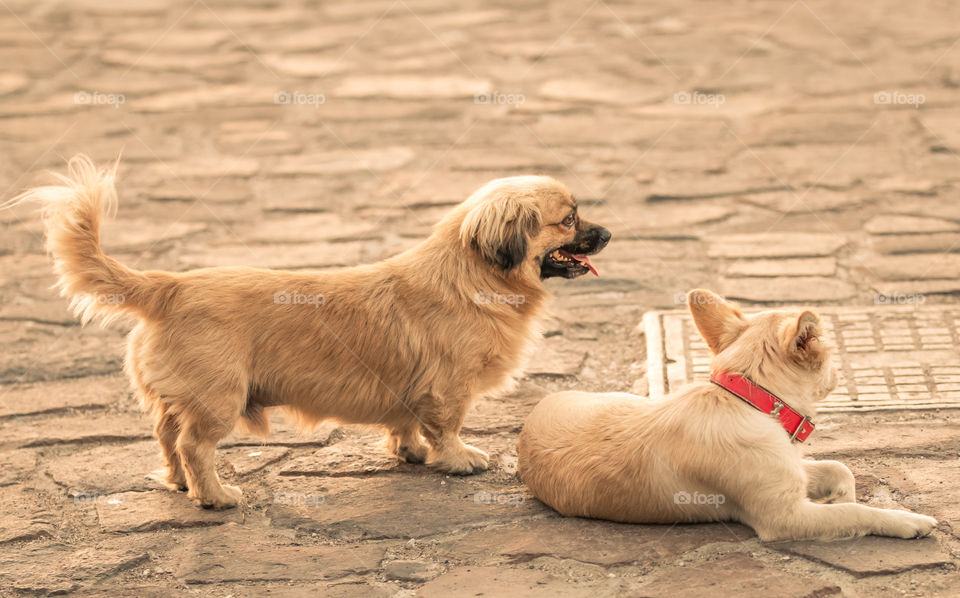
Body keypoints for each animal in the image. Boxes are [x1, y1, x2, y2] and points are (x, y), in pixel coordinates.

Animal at [13, 156, 608, 510]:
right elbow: (447, 428)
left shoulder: (413, 390)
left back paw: (181, 485)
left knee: (166, 437)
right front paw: (458, 459)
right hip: (219, 399)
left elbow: (406, 425)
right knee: (192, 445)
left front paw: (410, 453)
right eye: (569, 220)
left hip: (177, 399)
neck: (473, 274)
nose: (607, 233)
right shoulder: (449, 390)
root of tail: (171, 286)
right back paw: (215, 495)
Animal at [516, 290, 936, 544]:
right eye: (829, 354)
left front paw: (841, 494)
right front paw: (905, 520)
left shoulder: (791, 473)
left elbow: (839, 469)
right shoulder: (785, 517)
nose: (840, 374)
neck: (750, 401)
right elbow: (855, 512)